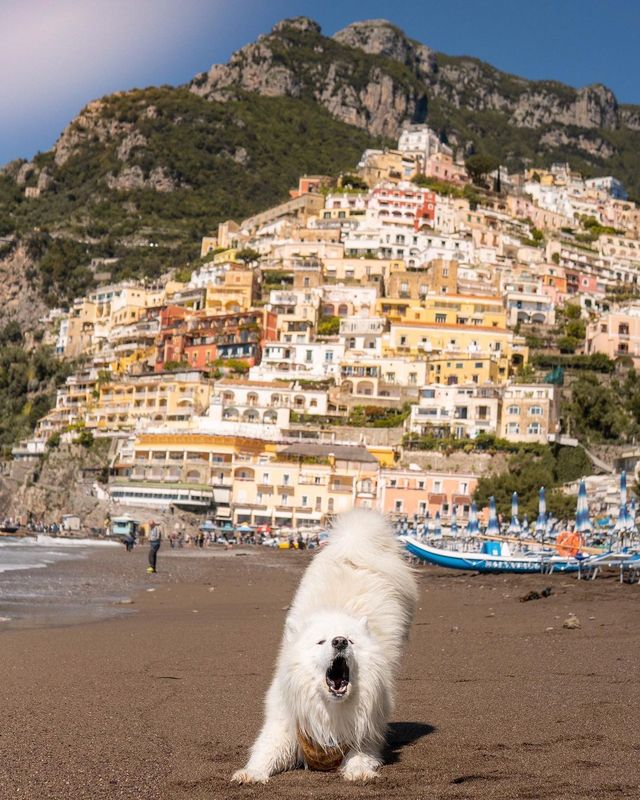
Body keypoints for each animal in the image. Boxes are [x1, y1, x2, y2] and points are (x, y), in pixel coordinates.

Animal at [232, 512, 418, 780]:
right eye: (320, 641)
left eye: (351, 640)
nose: (339, 641)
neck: (330, 709)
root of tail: (354, 546)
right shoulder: (285, 724)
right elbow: (264, 753)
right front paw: (251, 773)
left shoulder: (365, 733)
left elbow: (360, 756)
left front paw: (359, 772)